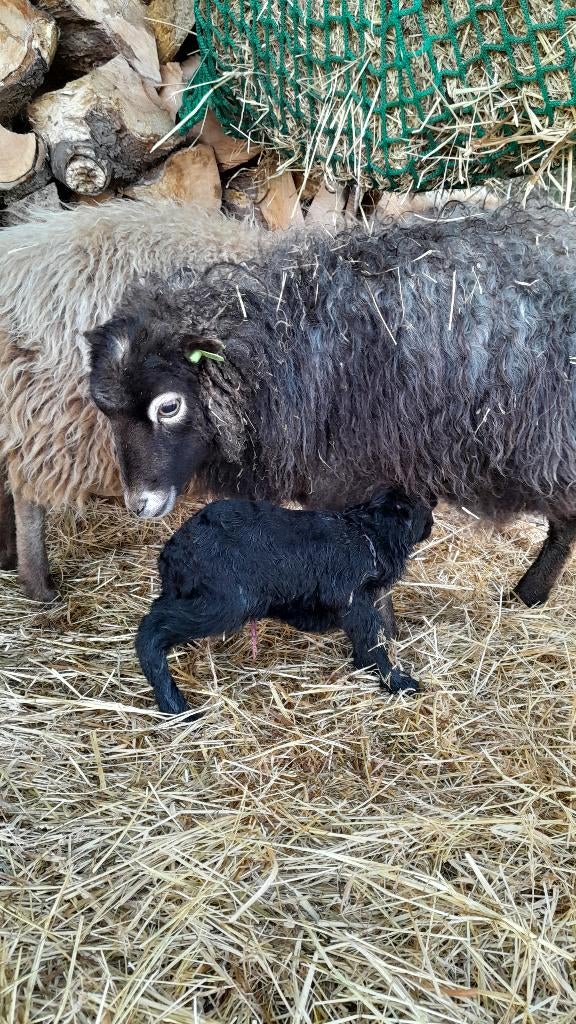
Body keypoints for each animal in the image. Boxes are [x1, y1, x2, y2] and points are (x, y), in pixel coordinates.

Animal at [89, 202, 576, 609]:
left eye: (169, 407)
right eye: (106, 412)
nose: (139, 504)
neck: (280, 352)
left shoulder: (356, 476)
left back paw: (531, 592)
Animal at [136, 489, 434, 715]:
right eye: (419, 509)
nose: (432, 518)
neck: (367, 535)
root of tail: (172, 554)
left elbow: (368, 637)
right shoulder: (354, 599)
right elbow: (373, 638)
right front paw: (398, 681)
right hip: (225, 603)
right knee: (151, 629)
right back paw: (174, 705)